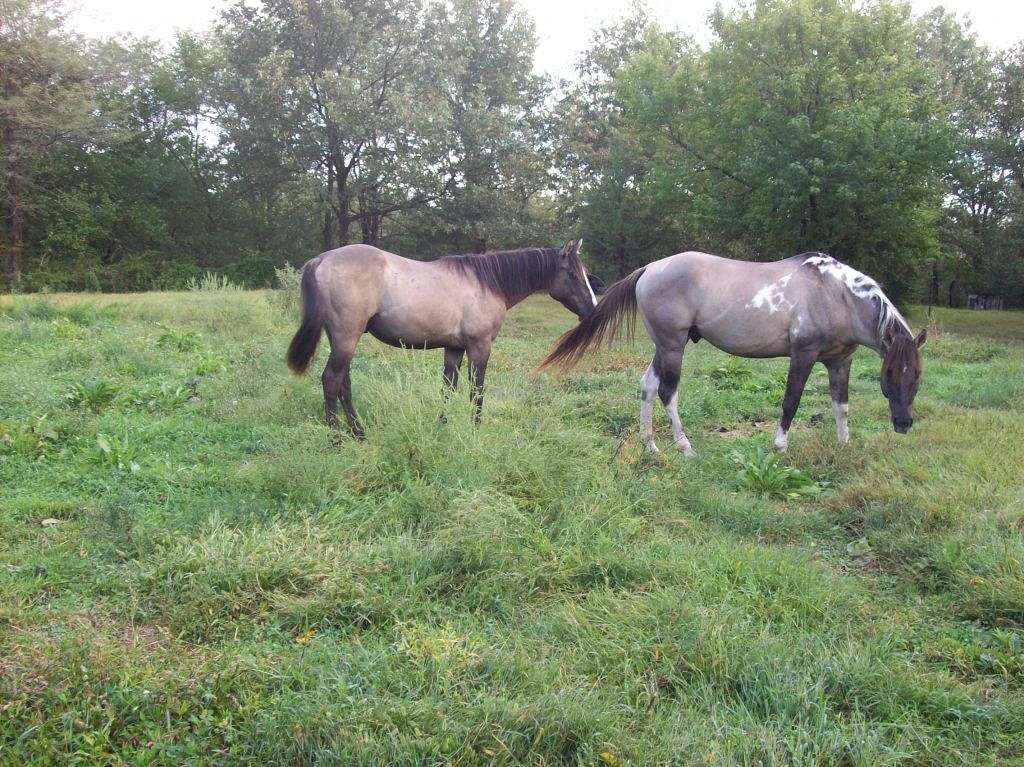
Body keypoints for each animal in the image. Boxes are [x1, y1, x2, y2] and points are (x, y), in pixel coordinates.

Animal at [286, 240, 597, 436]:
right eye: (572, 274)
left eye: (584, 273)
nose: (592, 310)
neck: (488, 283)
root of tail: (321, 259)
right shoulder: (479, 347)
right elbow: (476, 391)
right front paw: (475, 430)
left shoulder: (454, 349)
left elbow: (448, 389)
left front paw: (442, 427)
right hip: (346, 337)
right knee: (331, 380)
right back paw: (337, 439)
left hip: (343, 340)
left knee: (344, 383)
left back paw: (359, 433)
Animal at [539, 251, 927, 455]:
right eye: (889, 374)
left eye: (917, 376)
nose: (903, 424)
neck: (835, 294)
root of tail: (650, 268)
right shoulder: (803, 354)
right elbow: (791, 401)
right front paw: (780, 446)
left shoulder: (840, 360)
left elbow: (841, 405)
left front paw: (844, 445)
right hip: (673, 345)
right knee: (667, 392)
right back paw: (685, 448)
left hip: (663, 346)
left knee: (648, 387)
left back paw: (651, 445)